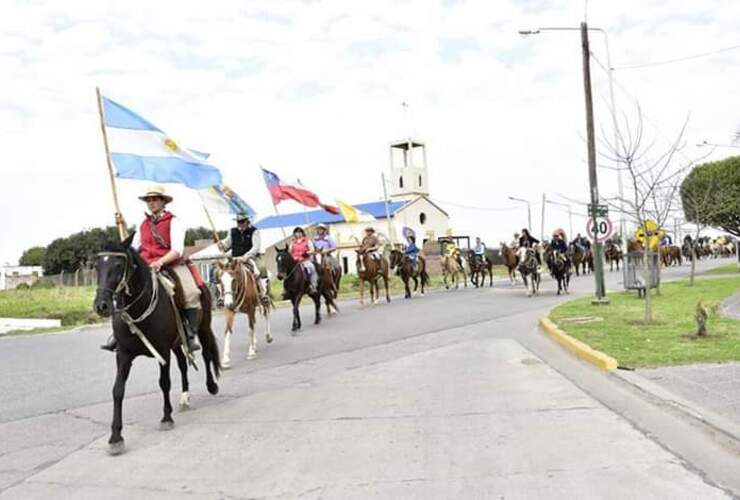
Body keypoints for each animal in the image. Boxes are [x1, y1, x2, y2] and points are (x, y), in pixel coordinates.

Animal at [93, 232, 220, 456]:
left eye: (118, 264)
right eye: (97, 265)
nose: (102, 305)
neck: (138, 308)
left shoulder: (162, 351)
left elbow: (164, 383)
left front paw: (166, 418)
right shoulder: (123, 355)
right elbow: (118, 390)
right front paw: (116, 437)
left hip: (203, 328)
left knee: (205, 355)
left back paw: (211, 386)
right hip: (177, 344)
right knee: (183, 365)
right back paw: (185, 398)